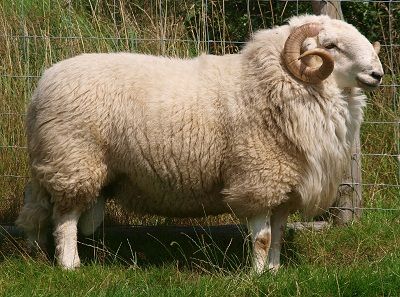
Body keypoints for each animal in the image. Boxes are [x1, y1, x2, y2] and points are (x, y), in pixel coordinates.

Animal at [16, 15, 384, 272]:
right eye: (331, 46)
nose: (378, 74)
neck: (274, 83)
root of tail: (42, 84)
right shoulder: (257, 179)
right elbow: (262, 238)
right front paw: (257, 276)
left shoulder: (284, 186)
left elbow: (277, 235)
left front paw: (275, 271)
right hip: (73, 160)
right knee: (65, 218)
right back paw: (70, 265)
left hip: (71, 165)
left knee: (44, 211)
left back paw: (44, 253)